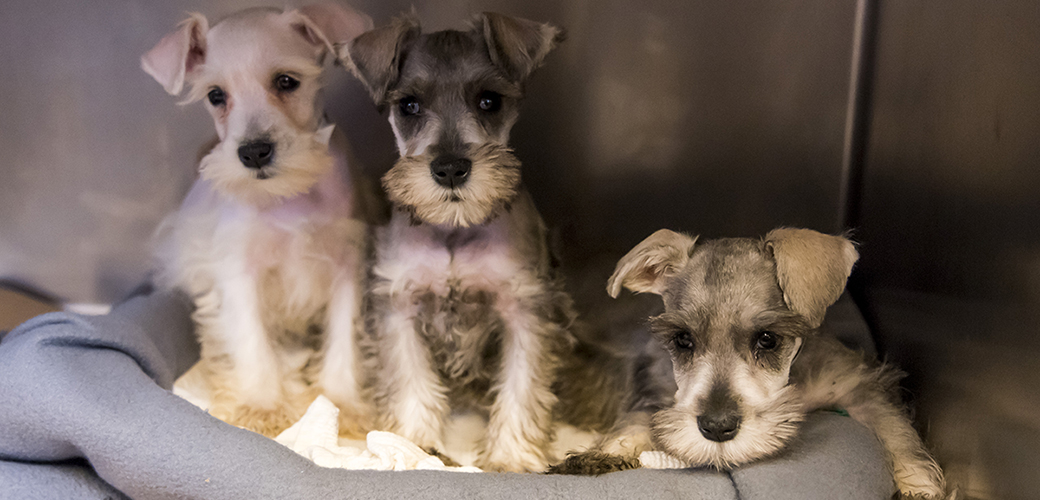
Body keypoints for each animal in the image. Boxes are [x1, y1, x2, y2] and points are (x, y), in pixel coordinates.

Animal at [143, 3, 374, 434]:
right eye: (216, 95)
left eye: (286, 81)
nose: (253, 152)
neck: (287, 195)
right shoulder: (239, 271)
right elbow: (252, 341)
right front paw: (263, 405)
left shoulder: (345, 265)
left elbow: (344, 339)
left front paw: (342, 404)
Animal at [345, 11, 582, 469]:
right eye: (409, 105)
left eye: (489, 100)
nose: (451, 168)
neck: (454, 228)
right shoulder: (399, 305)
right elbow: (410, 380)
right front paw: (410, 445)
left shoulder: (524, 308)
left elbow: (522, 385)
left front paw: (511, 457)